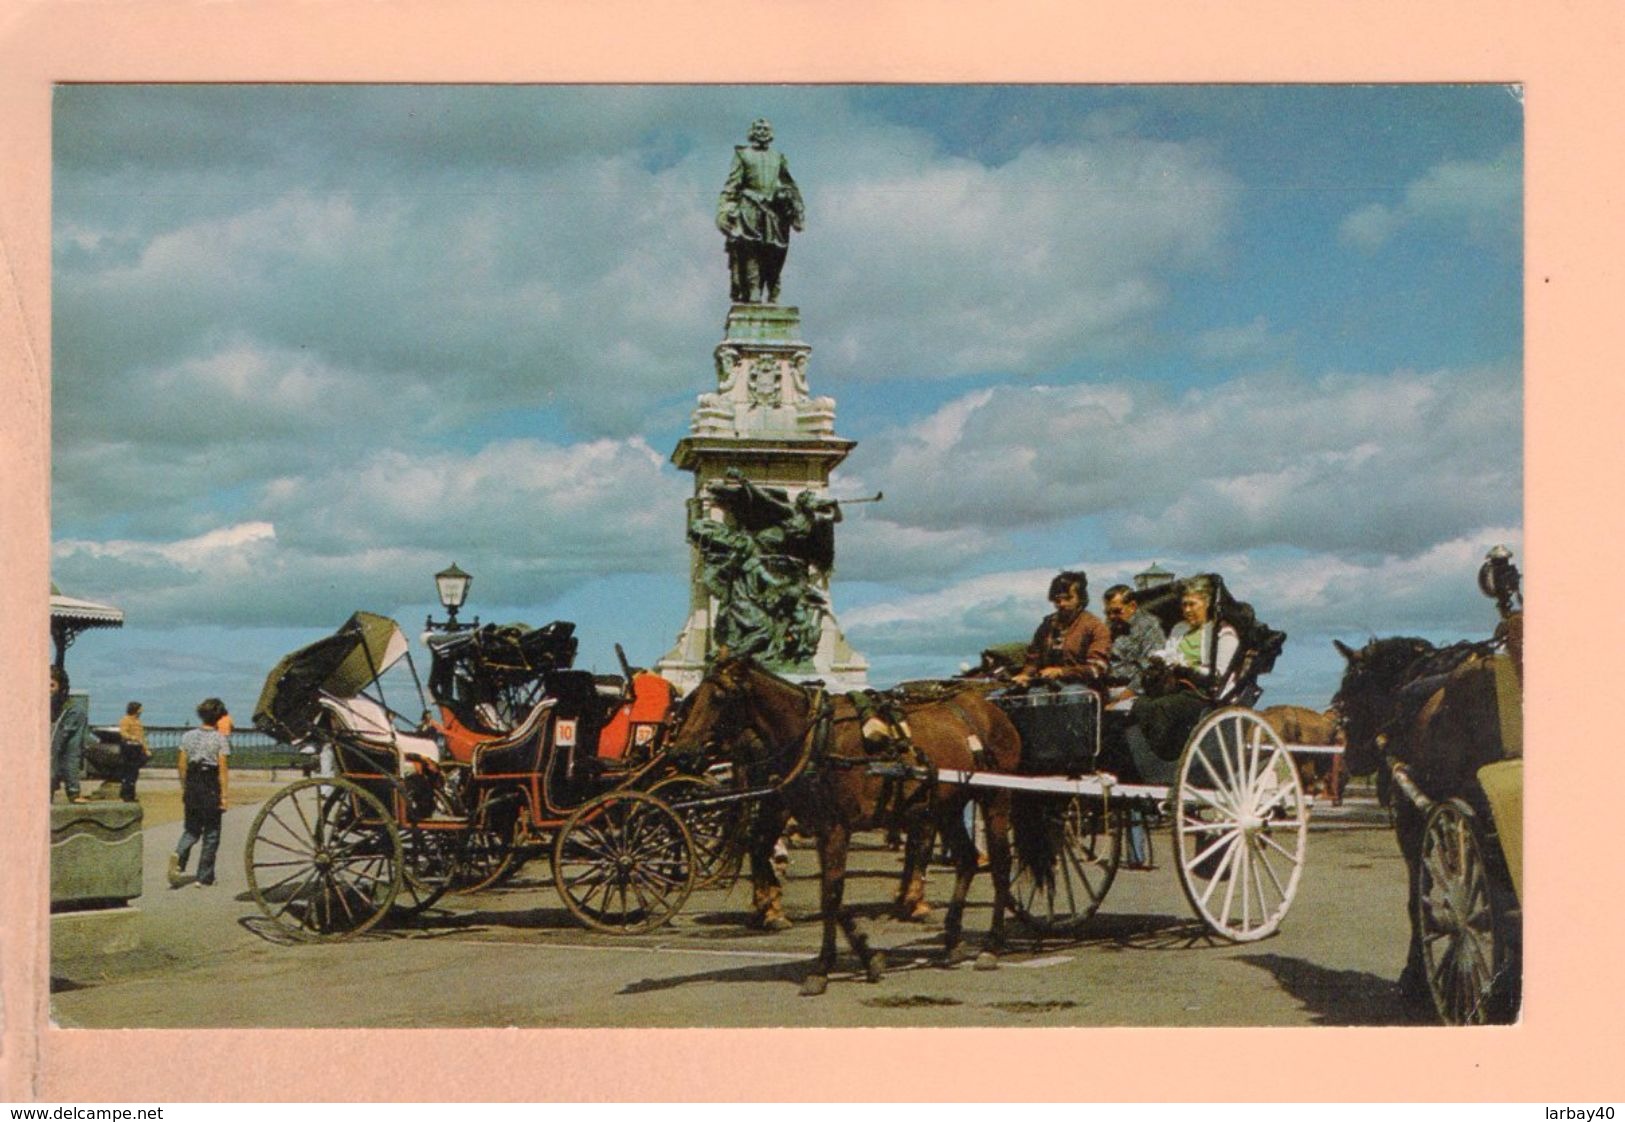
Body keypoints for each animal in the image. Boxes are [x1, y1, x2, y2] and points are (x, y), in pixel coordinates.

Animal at [659, 650, 1014, 995]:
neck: (817, 739)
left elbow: (830, 893)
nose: (680, 754)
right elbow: (832, 892)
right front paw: (867, 955)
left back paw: (991, 946)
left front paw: (822, 967)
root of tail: (989, 707)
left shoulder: (836, 827)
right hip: (947, 807)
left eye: (720, 698)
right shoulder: (822, 826)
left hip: (994, 799)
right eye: (694, 697)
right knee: (967, 860)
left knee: (1000, 866)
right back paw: (953, 940)